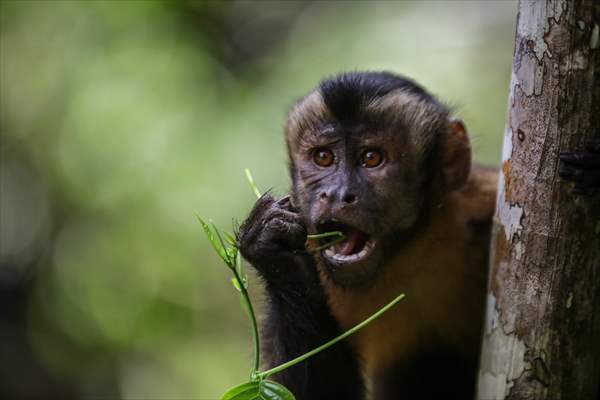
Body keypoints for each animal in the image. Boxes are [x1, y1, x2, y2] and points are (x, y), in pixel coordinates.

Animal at [237, 72, 596, 400]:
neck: (408, 251)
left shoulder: (481, 203)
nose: (337, 194)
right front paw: (278, 256)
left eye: (371, 158)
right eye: (323, 157)